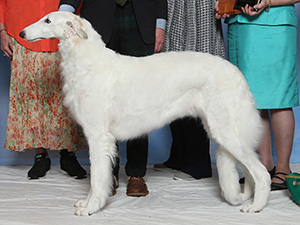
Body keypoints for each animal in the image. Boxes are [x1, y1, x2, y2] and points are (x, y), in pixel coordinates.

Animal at [19, 11, 270, 216]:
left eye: (47, 20)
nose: (21, 33)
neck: (88, 63)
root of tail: (237, 72)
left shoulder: (98, 136)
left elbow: (97, 179)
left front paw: (91, 208)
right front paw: (87, 203)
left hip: (226, 131)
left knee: (261, 172)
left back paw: (255, 207)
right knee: (250, 169)